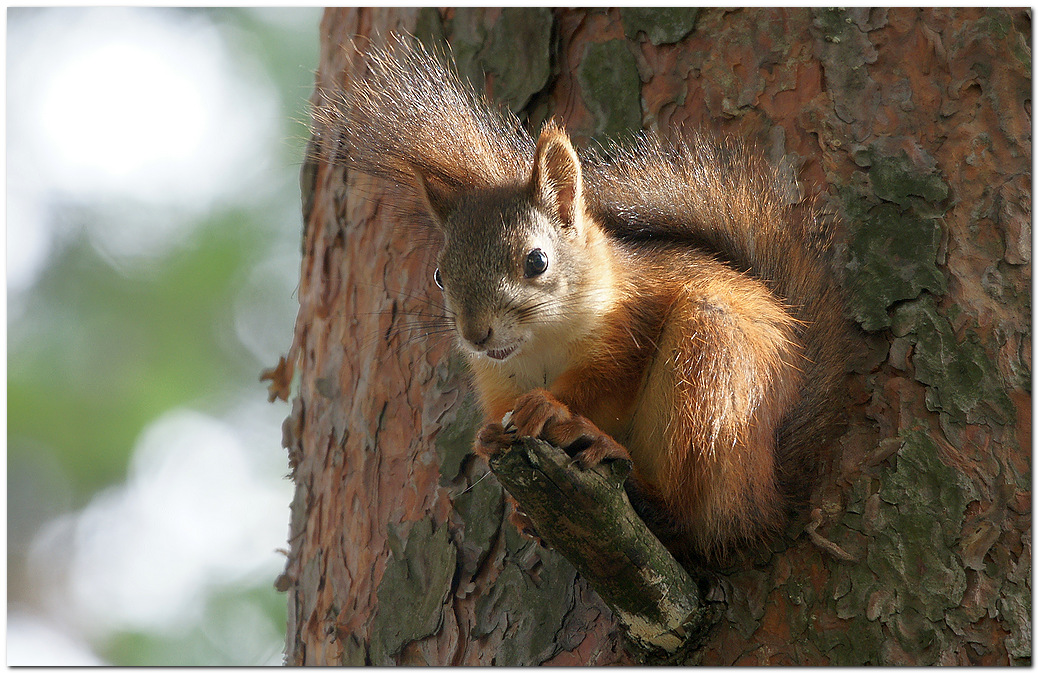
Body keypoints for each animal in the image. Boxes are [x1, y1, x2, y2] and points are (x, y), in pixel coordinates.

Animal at [311, 36, 847, 560]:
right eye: (440, 275)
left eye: (537, 261)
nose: (476, 335)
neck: (540, 345)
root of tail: (767, 493)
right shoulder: (496, 378)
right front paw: (488, 439)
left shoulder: (630, 331)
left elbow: (599, 384)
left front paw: (550, 409)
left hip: (711, 370)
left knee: (690, 514)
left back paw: (625, 470)